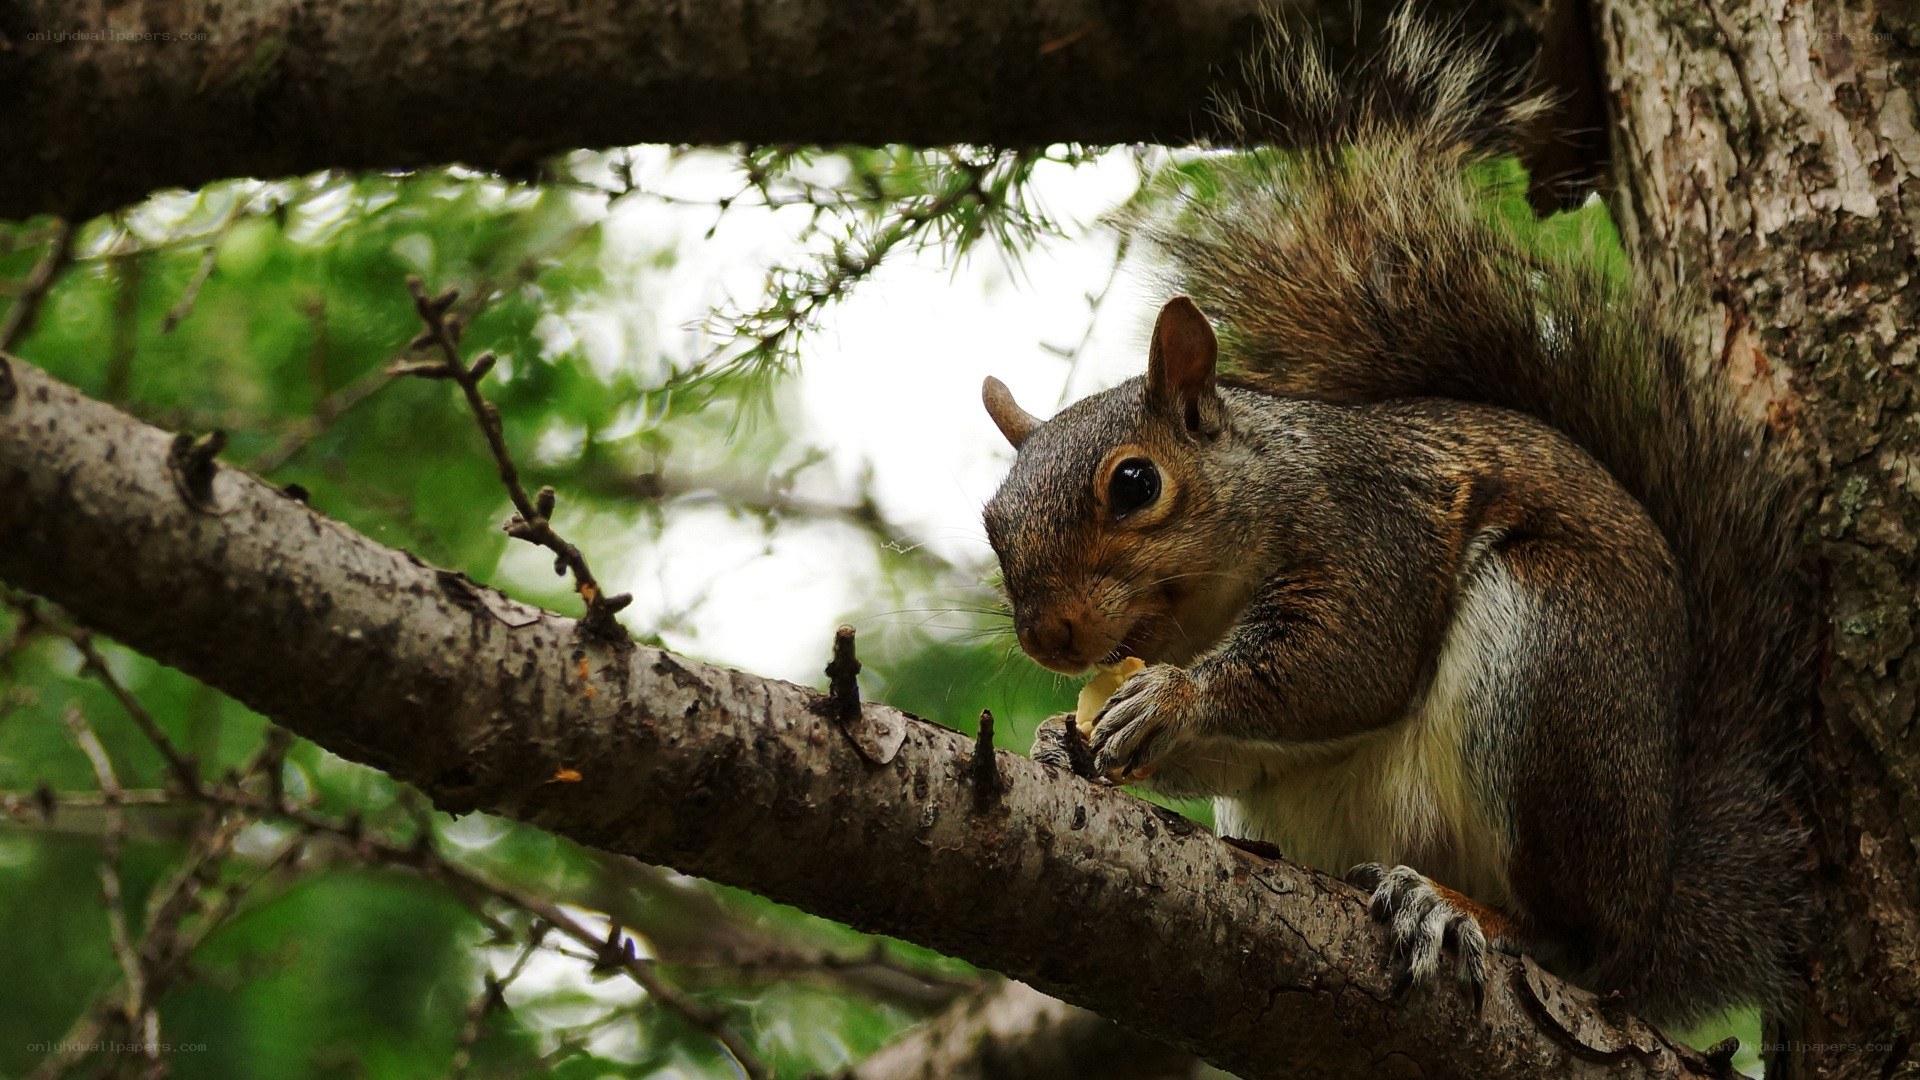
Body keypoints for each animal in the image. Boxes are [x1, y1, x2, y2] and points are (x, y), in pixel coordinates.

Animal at [979, 13, 1809, 1027]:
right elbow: (1235, 756)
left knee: (1569, 936)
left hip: (1554, 668)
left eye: (1136, 483)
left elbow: (1352, 659)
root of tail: (1650, 906)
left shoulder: (1375, 524)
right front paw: (1061, 739)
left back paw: (1456, 908)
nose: (1048, 637)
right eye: (992, 521)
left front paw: (1173, 694)